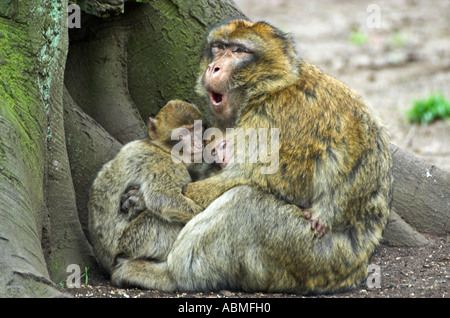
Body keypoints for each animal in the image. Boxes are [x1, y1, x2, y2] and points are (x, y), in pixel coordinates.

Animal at [88, 100, 218, 276]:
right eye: (184, 133)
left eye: (198, 129)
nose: (198, 143)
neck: (164, 149)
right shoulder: (166, 165)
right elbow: (164, 199)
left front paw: (138, 200)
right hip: (133, 242)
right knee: (156, 218)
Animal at [110, 19, 392, 294]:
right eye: (219, 47)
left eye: (239, 51)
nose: (213, 67)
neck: (270, 88)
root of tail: (359, 266)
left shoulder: (279, 117)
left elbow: (260, 180)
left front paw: (141, 201)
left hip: (313, 256)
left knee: (245, 202)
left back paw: (168, 276)